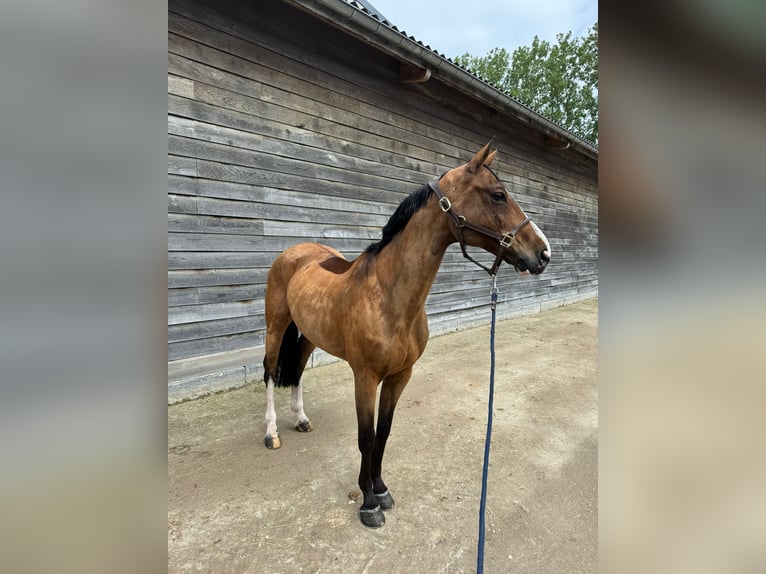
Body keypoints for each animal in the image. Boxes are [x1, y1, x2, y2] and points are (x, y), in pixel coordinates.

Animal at [264, 142, 552, 528]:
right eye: (498, 195)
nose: (543, 252)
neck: (389, 295)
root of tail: (293, 253)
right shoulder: (365, 377)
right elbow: (367, 437)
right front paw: (368, 503)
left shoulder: (400, 375)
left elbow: (384, 433)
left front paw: (381, 489)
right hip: (276, 324)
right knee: (269, 372)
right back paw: (271, 434)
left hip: (310, 334)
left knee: (295, 371)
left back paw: (302, 420)